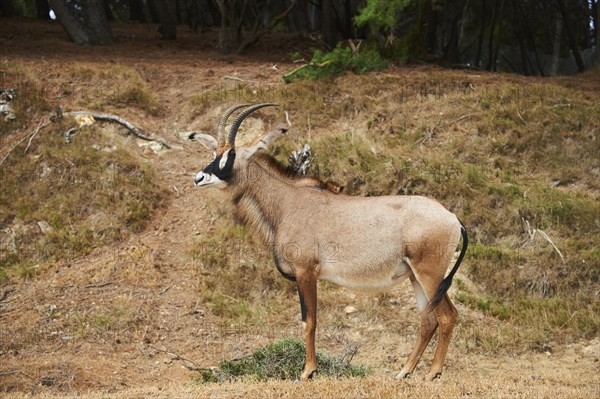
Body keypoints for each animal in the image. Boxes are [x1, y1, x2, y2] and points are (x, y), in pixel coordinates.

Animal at [193, 102, 468, 382]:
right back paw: (403, 372)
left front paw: (308, 371)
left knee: (447, 316)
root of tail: (452, 218)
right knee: (428, 320)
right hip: (415, 277)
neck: (288, 202)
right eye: (214, 152)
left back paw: (432, 373)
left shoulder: (306, 272)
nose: (200, 178)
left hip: (430, 275)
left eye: (232, 154)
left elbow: (309, 321)